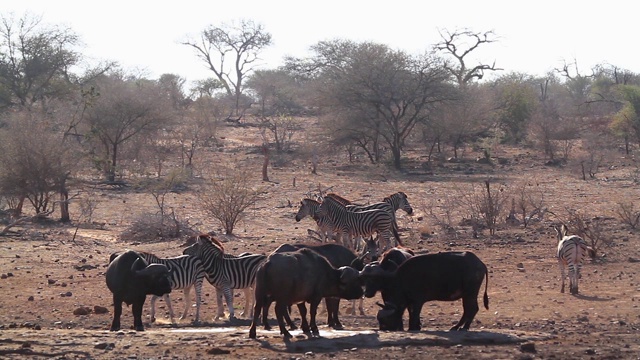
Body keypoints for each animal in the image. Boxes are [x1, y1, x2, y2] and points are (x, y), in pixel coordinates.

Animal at [360, 250, 490, 332]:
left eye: (385, 320)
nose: (384, 329)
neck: (400, 279)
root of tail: (481, 263)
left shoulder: (418, 301)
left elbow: (414, 314)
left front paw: (412, 327)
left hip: (470, 293)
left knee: (472, 309)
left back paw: (464, 327)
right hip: (466, 295)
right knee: (467, 310)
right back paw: (456, 327)